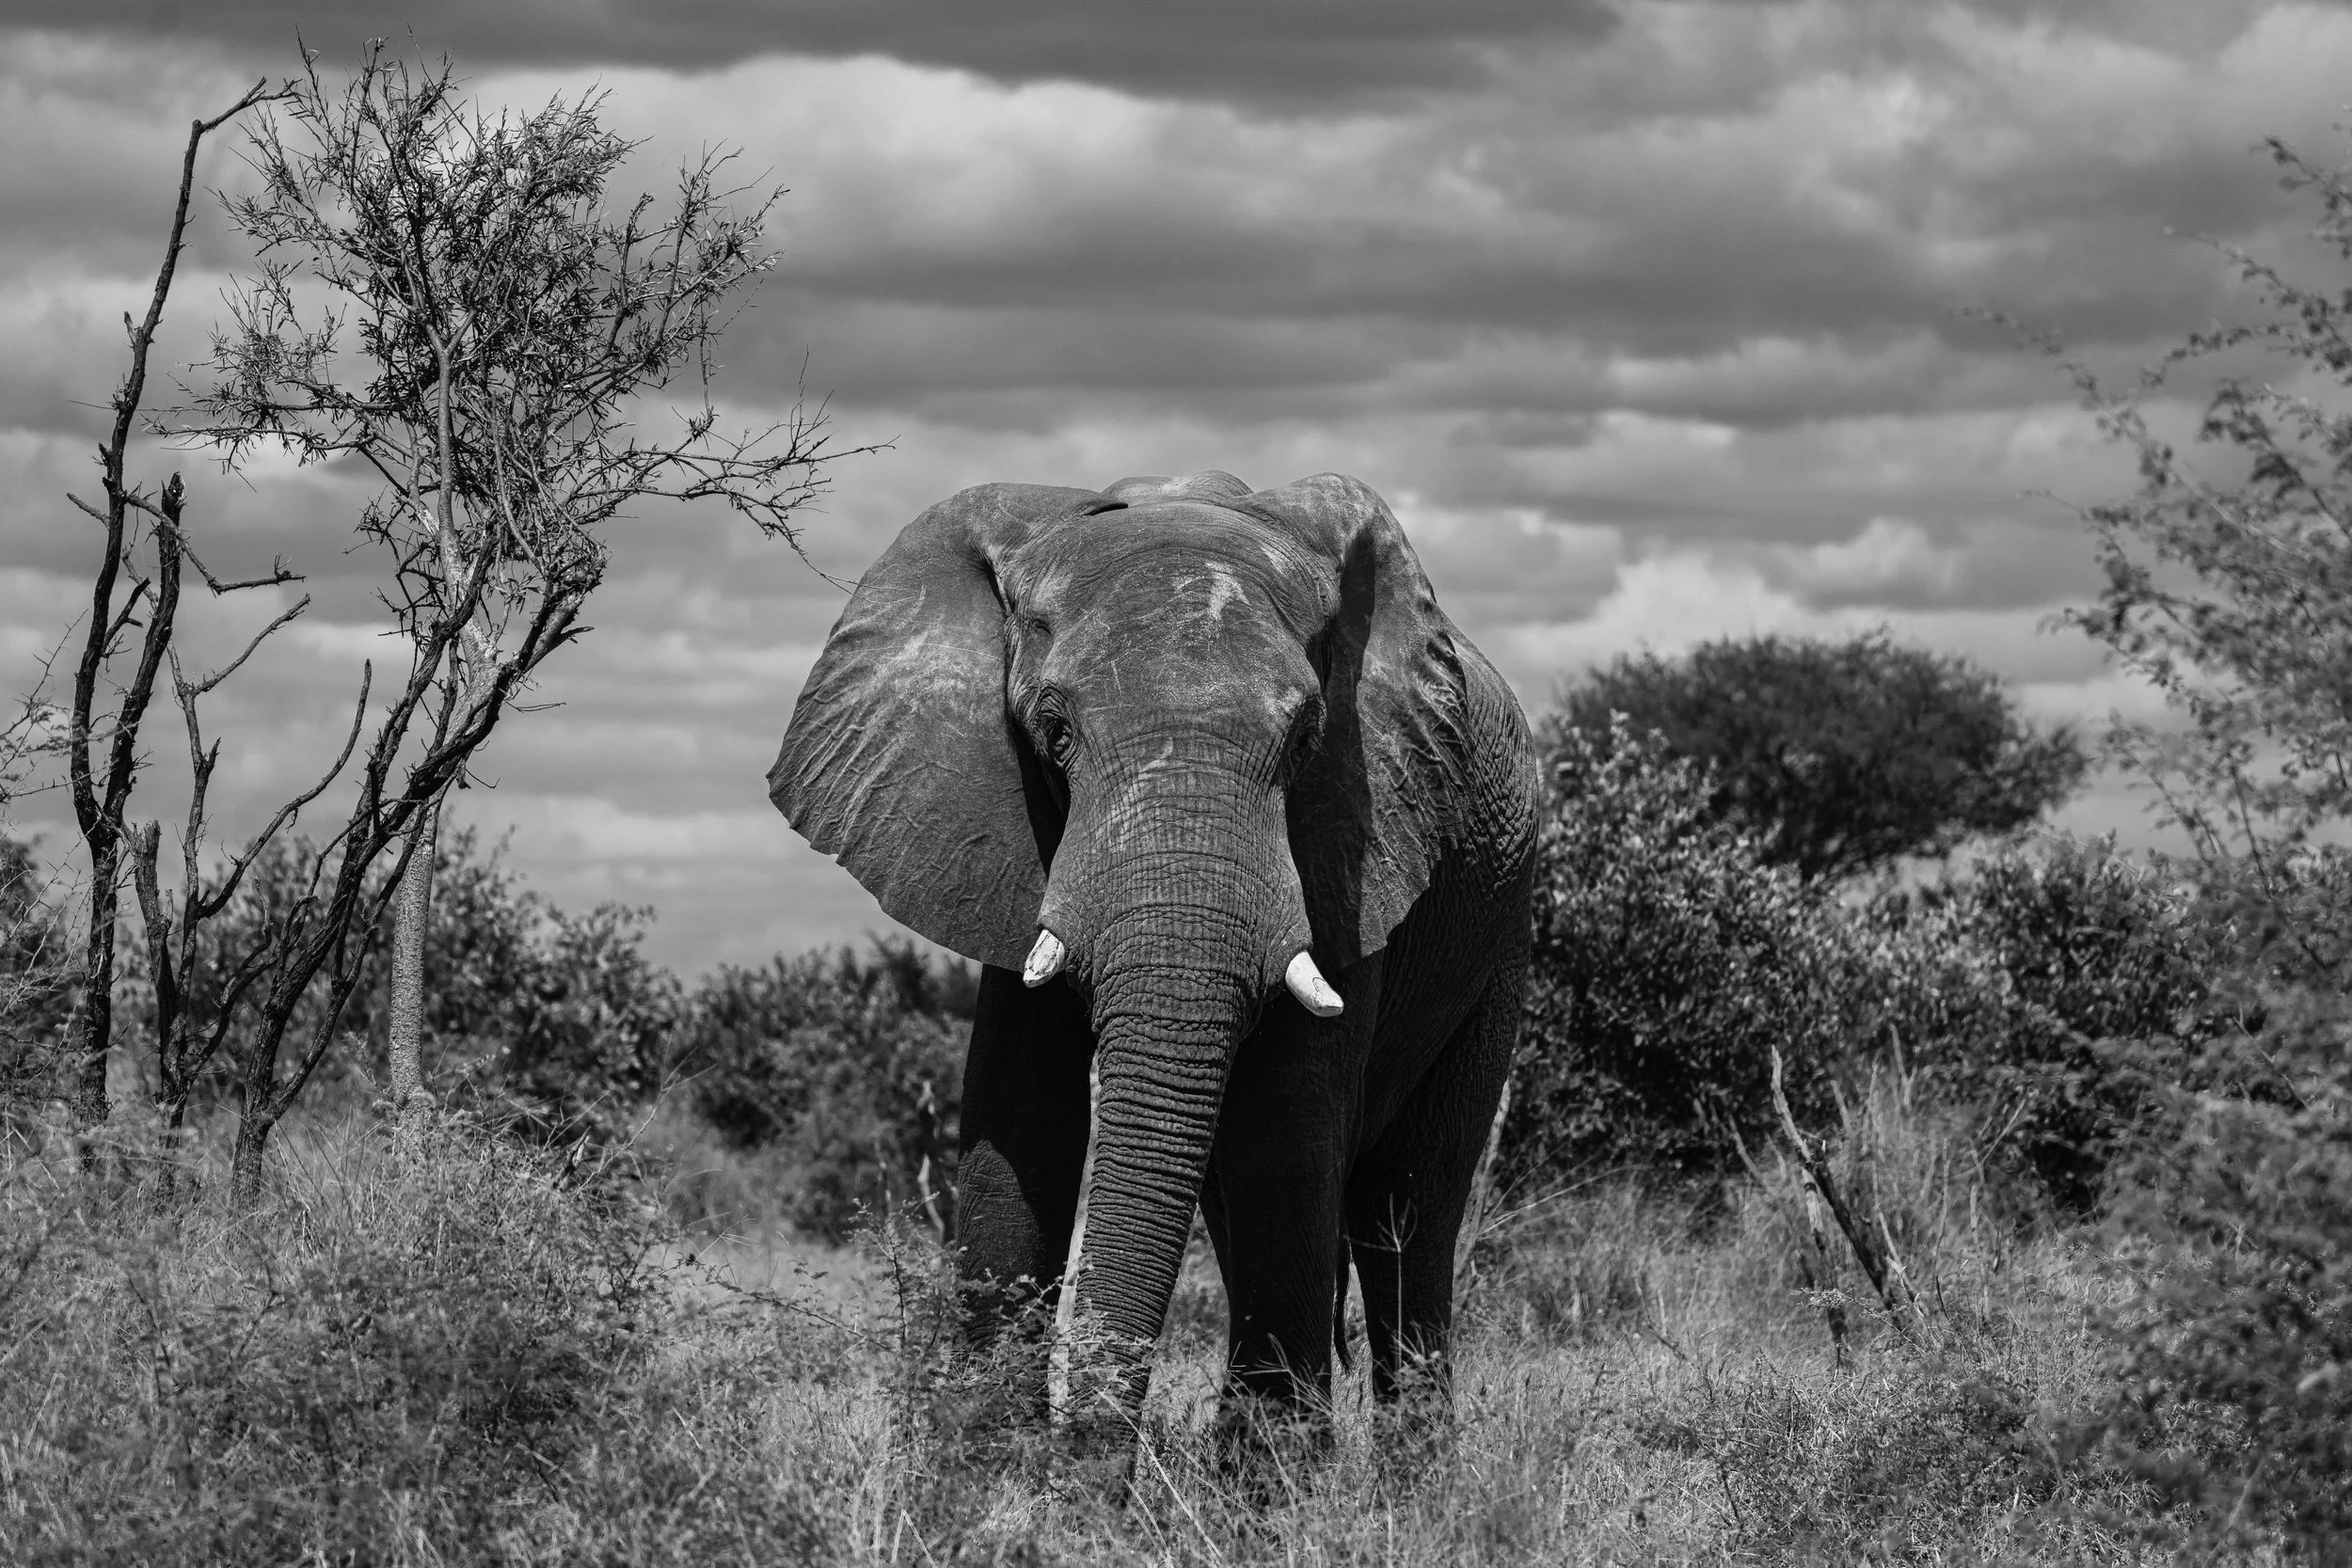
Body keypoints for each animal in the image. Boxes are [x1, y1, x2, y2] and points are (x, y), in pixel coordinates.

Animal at [768, 468, 1540, 1462]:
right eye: (1053, 730)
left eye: (1306, 739)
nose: (1087, 1468)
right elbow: (1021, 1112)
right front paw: (984, 1468)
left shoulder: (1358, 834)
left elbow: (1286, 1124)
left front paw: (1271, 1487)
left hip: (1500, 926)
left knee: (1408, 1204)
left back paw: (1419, 1480)